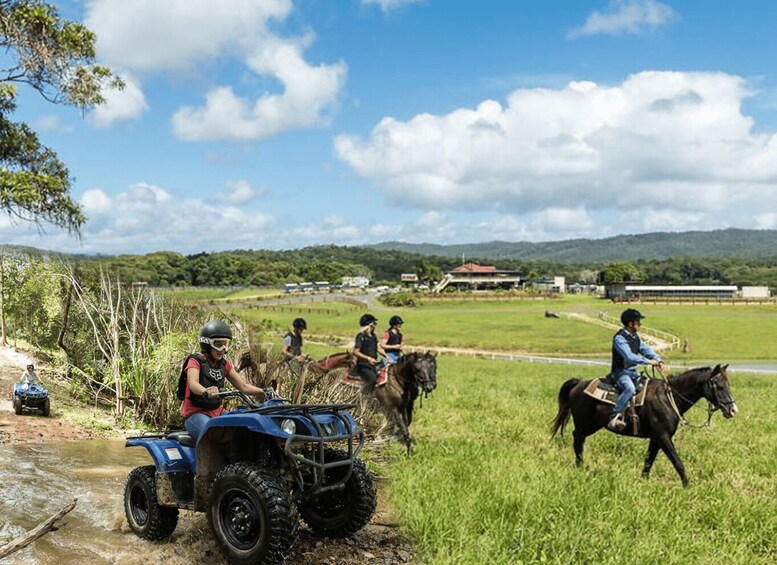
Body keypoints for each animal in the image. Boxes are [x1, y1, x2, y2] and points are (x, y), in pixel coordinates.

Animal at [548, 366, 736, 484]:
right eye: (719, 386)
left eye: (728, 385)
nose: (733, 410)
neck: (668, 398)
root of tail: (578, 384)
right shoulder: (663, 436)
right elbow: (677, 461)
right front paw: (687, 486)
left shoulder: (656, 438)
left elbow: (649, 460)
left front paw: (643, 481)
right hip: (584, 423)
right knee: (577, 439)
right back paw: (580, 466)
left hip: (593, 425)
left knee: (578, 439)